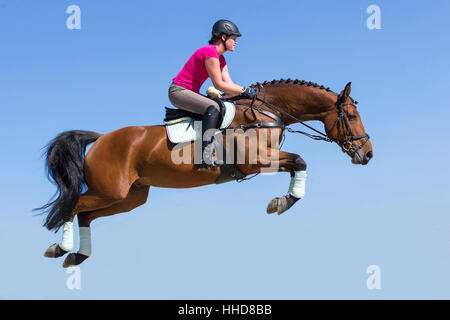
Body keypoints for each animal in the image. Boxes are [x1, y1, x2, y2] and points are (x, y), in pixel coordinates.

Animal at [35, 79, 372, 268]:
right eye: (351, 115)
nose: (367, 154)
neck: (267, 113)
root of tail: (101, 138)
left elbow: (299, 163)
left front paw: (282, 200)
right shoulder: (259, 160)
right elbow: (301, 161)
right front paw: (282, 202)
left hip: (128, 198)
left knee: (85, 215)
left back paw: (77, 255)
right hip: (110, 191)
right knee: (75, 206)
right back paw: (61, 248)